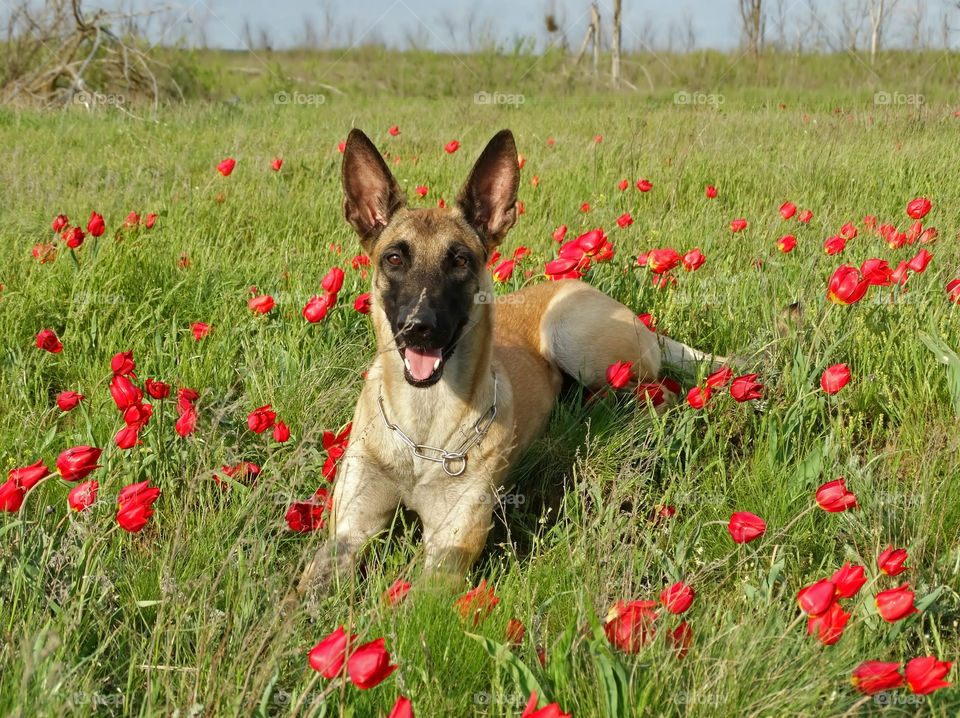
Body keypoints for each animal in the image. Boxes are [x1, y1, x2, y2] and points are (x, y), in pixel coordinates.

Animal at [296, 131, 716, 600]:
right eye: (394, 258)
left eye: (460, 260)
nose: (419, 329)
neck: (421, 435)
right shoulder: (348, 532)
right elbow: (303, 597)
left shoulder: (449, 551)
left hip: (572, 337)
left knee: (661, 393)